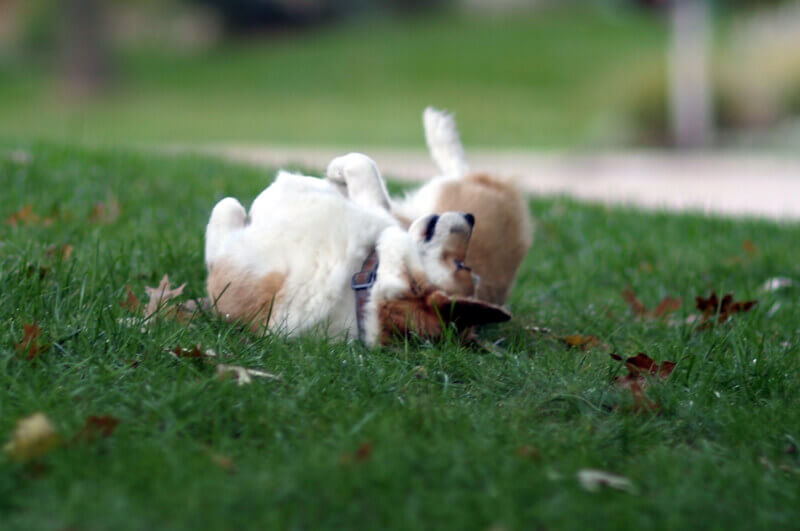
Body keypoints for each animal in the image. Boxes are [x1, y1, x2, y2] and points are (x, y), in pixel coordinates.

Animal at [205, 154, 506, 348]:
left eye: (461, 265)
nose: (471, 217)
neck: (360, 278)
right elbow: (369, 172)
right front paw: (335, 177)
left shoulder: (229, 266)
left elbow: (226, 205)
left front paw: (334, 171)